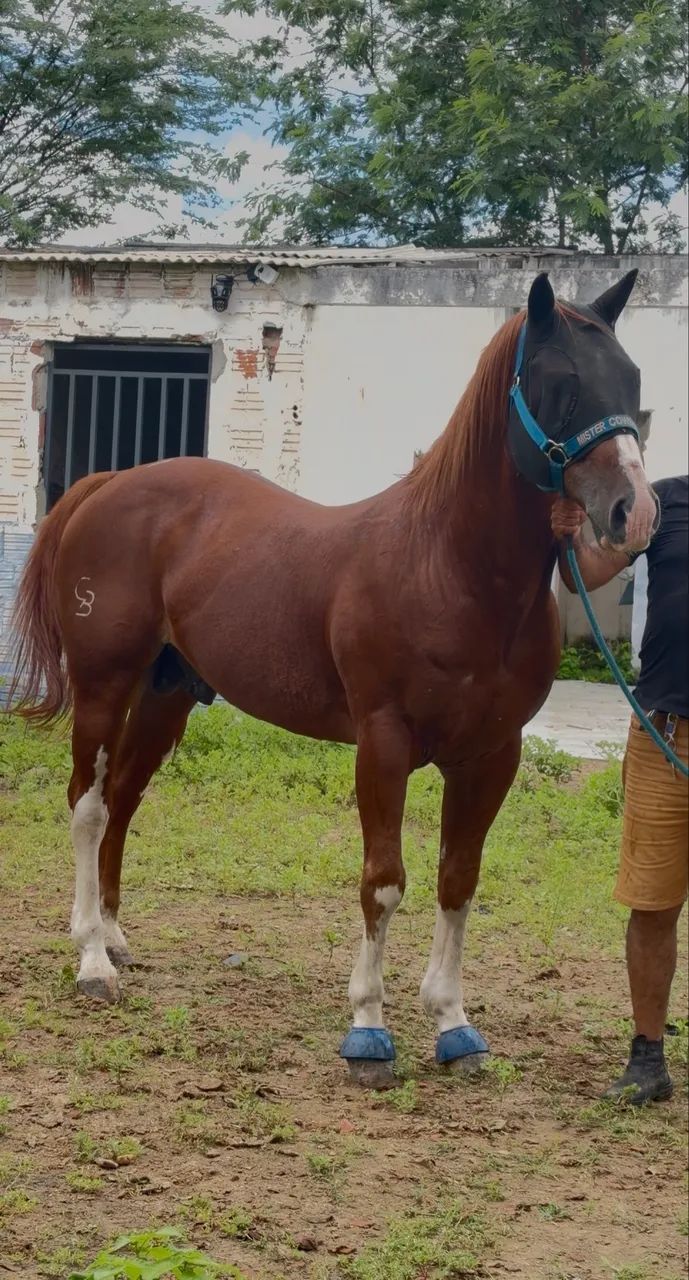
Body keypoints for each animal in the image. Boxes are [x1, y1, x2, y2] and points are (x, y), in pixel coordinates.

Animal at [8, 270, 657, 1088]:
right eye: (559, 382)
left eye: (631, 378)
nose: (634, 513)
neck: (449, 568)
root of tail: (110, 484)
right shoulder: (382, 744)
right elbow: (383, 881)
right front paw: (368, 1031)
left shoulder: (490, 755)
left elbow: (458, 878)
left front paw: (453, 1024)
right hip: (104, 684)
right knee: (89, 807)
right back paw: (92, 958)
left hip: (166, 695)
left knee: (123, 800)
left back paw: (115, 936)